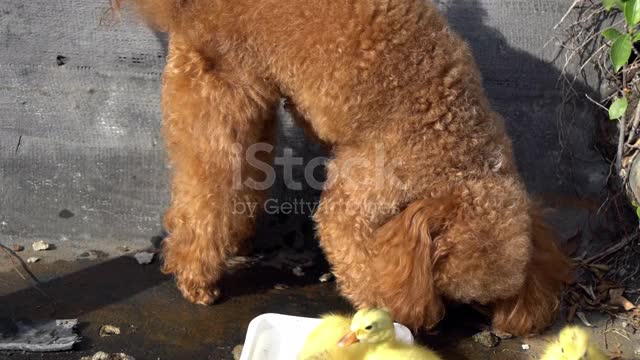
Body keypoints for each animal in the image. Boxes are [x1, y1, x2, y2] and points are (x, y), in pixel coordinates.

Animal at [117, 0, 572, 336]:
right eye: (447, 289)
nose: (489, 328)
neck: (448, 137)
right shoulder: (359, 194)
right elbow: (353, 251)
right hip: (220, 99)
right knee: (207, 191)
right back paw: (196, 278)